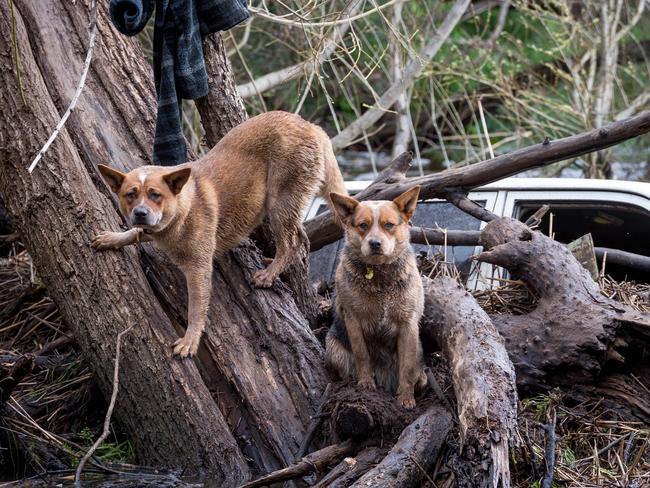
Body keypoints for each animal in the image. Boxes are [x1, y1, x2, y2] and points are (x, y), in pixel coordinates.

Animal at [92, 111, 344, 358]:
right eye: (130, 194)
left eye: (155, 195)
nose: (140, 213)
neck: (183, 210)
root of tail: (311, 126)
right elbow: (135, 231)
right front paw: (112, 238)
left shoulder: (198, 268)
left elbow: (195, 309)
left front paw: (190, 341)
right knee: (300, 238)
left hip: (280, 203)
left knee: (293, 242)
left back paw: (269, 274)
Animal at [322, 187, 426, 408]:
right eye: (363, 225)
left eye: (389, 225)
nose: (375, 243)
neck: (379, 275)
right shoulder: (352, 318)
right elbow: (362, 354)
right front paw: (365, 384)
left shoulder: (408, 324)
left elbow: (407, 367)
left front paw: (406, 398)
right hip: (334, 350)